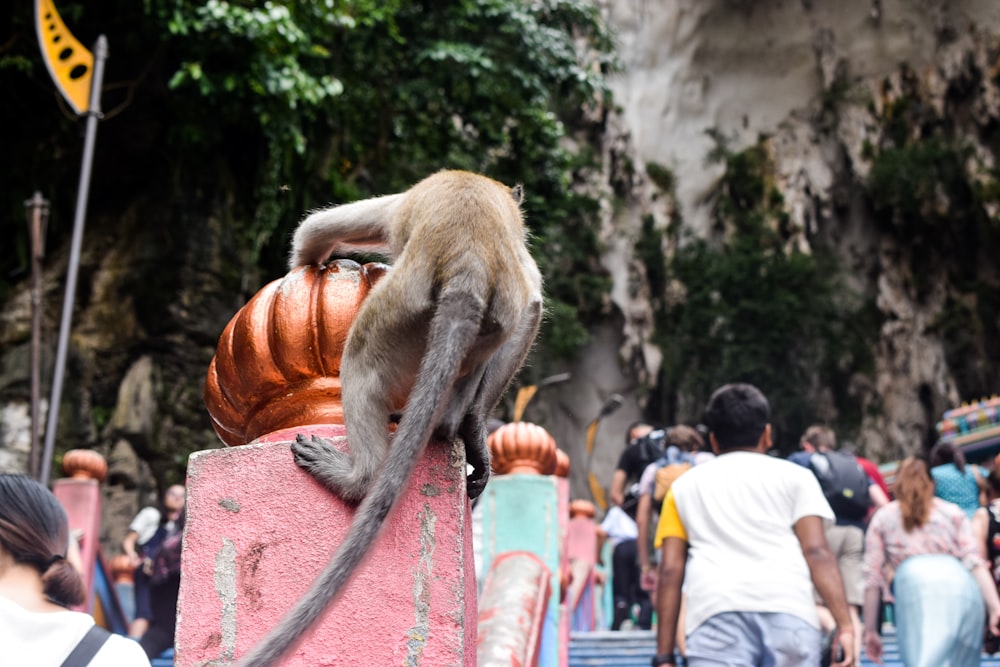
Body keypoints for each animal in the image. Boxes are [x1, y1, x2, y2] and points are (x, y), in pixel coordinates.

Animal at [235, 171, 544, 667]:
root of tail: (469, 274)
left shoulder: (397, 206)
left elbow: (320, 228)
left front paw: (305, 261)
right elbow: (535, 300)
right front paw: (476, 430)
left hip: (400, 312)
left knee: (360, 358)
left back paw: (355, 478)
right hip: (484, 324)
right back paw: (460, 424)